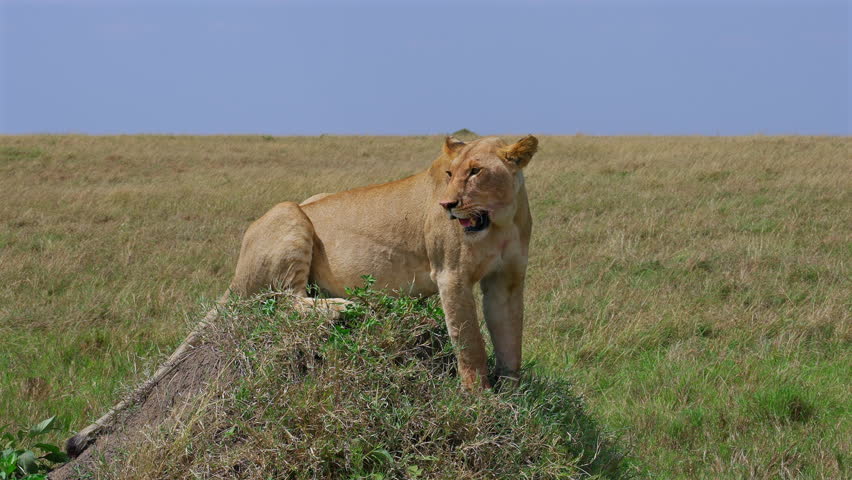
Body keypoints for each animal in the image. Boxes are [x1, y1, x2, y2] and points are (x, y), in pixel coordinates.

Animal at [65, 135, 537, 457]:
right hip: (291, 212)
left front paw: (516, 394)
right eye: (451, 174)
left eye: (476, 172)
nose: (447, 205)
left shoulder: (509, 280)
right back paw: (345, 306)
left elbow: (509, 338)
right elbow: (469, 343)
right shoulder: (450, 275)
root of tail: (237, 267)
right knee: (278, 303)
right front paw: (480, 402)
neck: (498, 219)